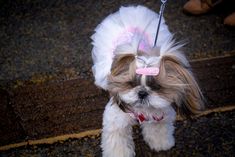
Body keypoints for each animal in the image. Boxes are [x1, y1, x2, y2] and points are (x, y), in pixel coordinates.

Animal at [91, 4, 204, 157]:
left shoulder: (159, 115)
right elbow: (117, 139)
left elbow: (158, 129)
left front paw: (161, 142)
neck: (143, 110)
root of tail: (131, 9)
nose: (142, 92)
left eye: (157, 87)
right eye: (131, 83)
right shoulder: (116, 119)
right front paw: (119, 153)